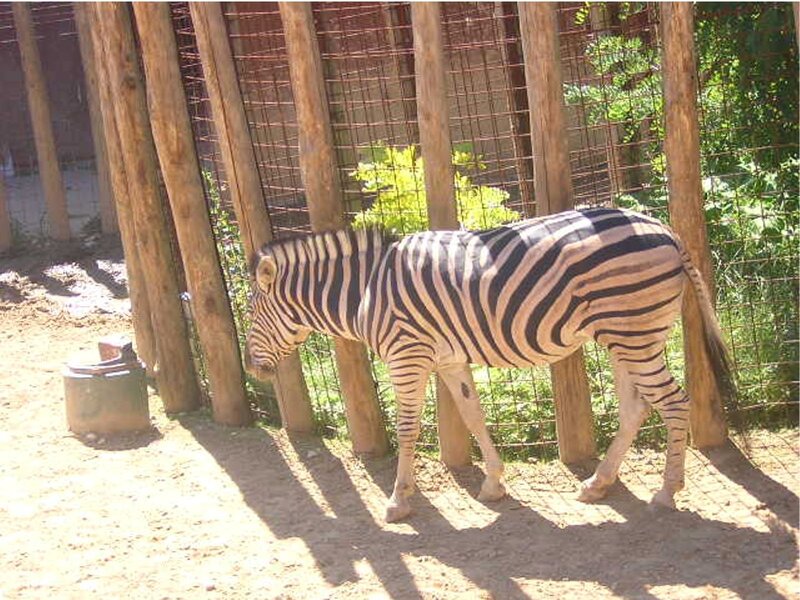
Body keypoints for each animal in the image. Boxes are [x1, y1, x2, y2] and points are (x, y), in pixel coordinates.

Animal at [245, 207, 736, 523]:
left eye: (251, 311)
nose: (252, 369)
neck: (366, 290)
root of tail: (665, 229)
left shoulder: (408, 356)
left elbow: (407, 429)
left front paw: (399, 500)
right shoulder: (448, 359)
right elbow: (473, 416)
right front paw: (494, 484)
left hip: (634, 334)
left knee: (675, 404)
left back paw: (667, 492)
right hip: (626, 337)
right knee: (637, 406)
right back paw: (598, 483)